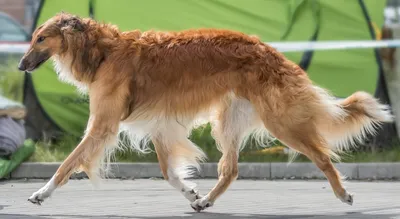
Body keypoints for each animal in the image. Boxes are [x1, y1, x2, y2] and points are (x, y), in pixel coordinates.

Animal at [18, 12, 394, 212]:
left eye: (40, 38)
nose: (20, 65)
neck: (103, 52)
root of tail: (270, 50)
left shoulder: (102, 126)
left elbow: (68, 163)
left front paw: (40, 194)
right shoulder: (159, 126)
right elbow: (169, 173)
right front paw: (192, 193)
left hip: (280, 122)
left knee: (323, 156)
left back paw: (343, 193)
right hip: (228, 122)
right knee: (231, 169)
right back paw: (206, 202)